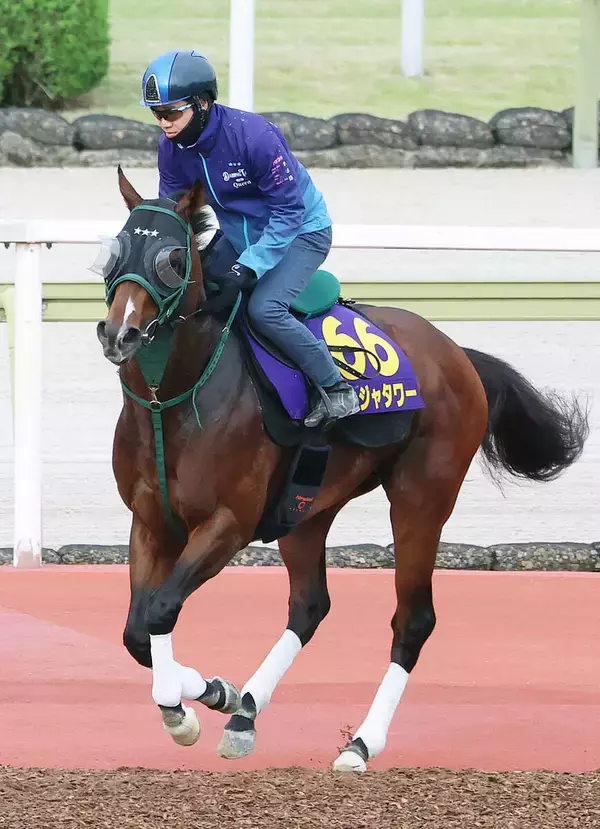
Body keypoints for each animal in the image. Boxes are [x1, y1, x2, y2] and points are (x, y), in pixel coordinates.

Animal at [95, 167, 589, 772]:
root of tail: (457, 353)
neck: (172, 402)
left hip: (422, 497)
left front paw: (188, 708)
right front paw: (215, 694)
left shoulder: (229, 522)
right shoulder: (150, 521)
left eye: (172, 256)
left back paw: (361, 743)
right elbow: (137, 631)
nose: (119, 333)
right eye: (115, 250)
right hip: (307, 510)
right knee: (310, 606)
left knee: (413, 619)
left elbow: (162, 609)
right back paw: (246, 711)